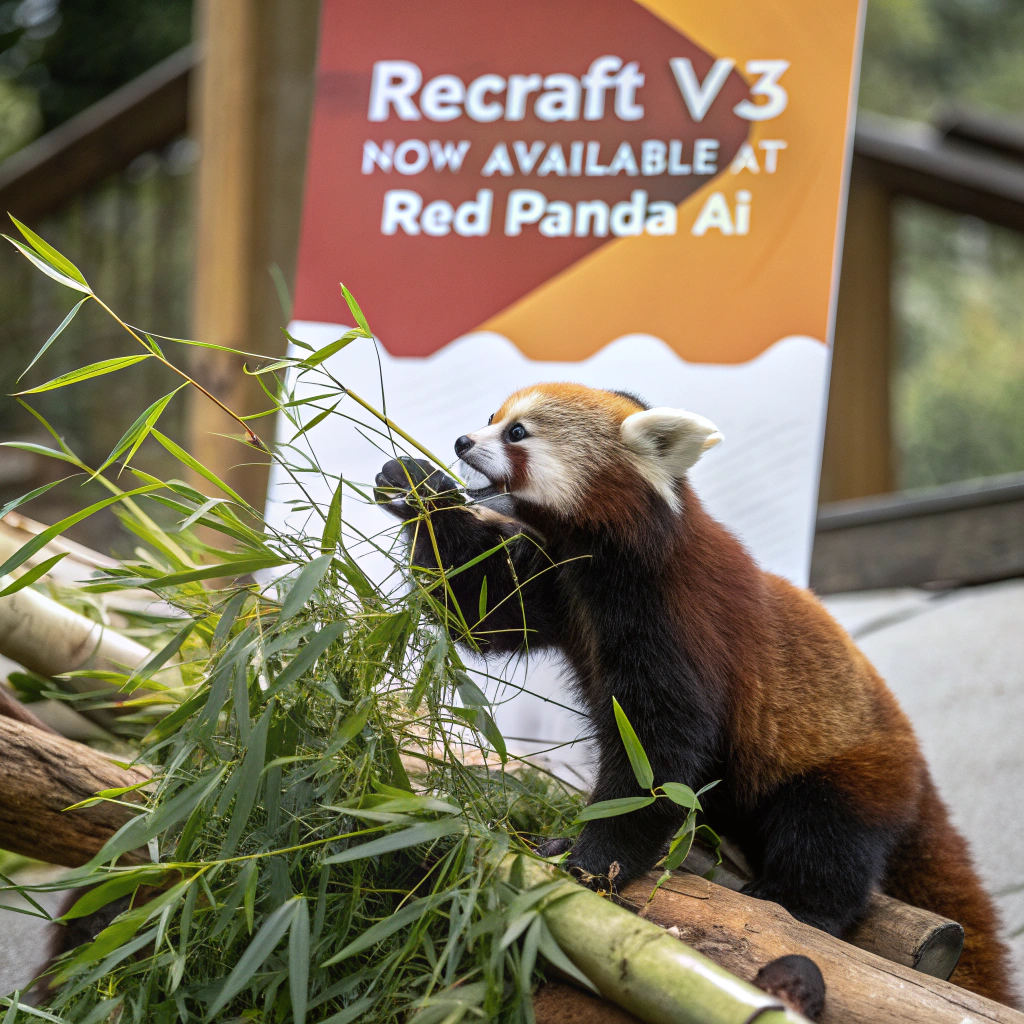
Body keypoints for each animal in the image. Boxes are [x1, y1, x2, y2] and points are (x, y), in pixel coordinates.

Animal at [374, 382, 1016, 1006]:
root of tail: (916, 760)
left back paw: (799, 904)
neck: (600, 563)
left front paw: (592, 862)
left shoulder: (680, 619)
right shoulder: (555, 582)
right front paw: (416, 484)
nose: (460, 442)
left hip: (850, 770)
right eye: (491, 416)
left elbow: (654, 755)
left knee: (826, 840)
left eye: (516, 433)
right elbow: (483, 612)